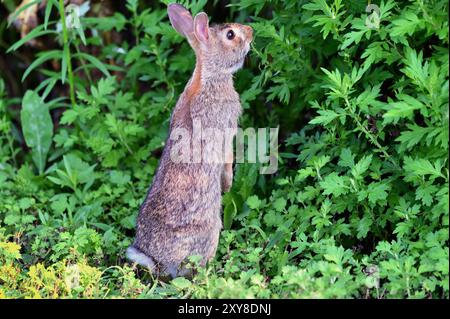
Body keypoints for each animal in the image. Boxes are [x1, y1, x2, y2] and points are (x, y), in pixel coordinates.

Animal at [126, 2, 253, 278]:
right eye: (230, 34)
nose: (250, 31)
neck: (210, 75)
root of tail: (158, 261)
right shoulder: (226, 128)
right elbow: (227, 157)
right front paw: (227, 184)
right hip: (209, 231)